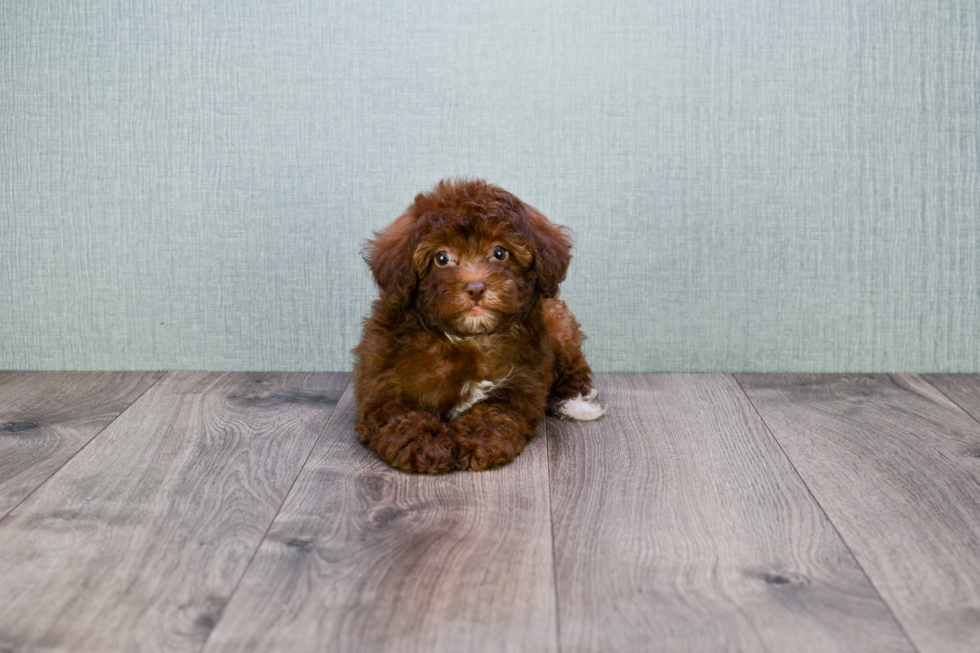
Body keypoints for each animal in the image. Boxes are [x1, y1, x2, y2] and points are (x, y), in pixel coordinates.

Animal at [348, 178, 600, 474]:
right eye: (442, 258)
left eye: (499, 253)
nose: (476, 288)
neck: (467, 338)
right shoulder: (384, 384)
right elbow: (401, 417)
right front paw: (428, 444)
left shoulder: (519, 384)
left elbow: (494, 413)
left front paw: (474, 441)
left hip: (560, 327)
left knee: (574, 366)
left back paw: (575, 403)